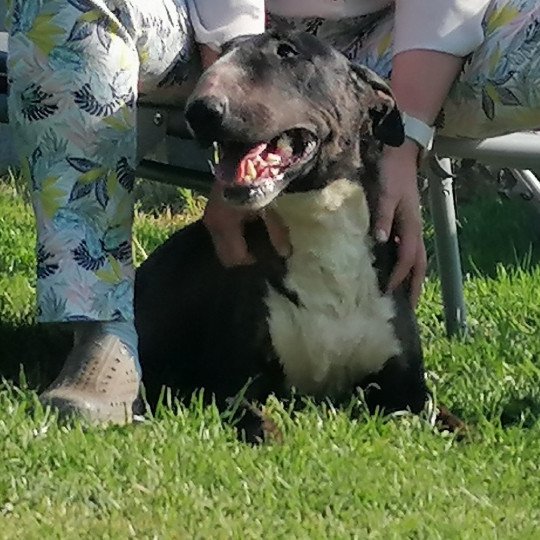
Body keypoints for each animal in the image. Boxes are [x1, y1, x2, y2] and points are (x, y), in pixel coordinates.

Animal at [134, 29, 448, 440]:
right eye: (224, 52)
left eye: (287, 52)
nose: (200, 112)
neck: (322, 227)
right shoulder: (231, 380)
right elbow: (253, 418)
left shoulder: (408, 390)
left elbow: (451, 420)